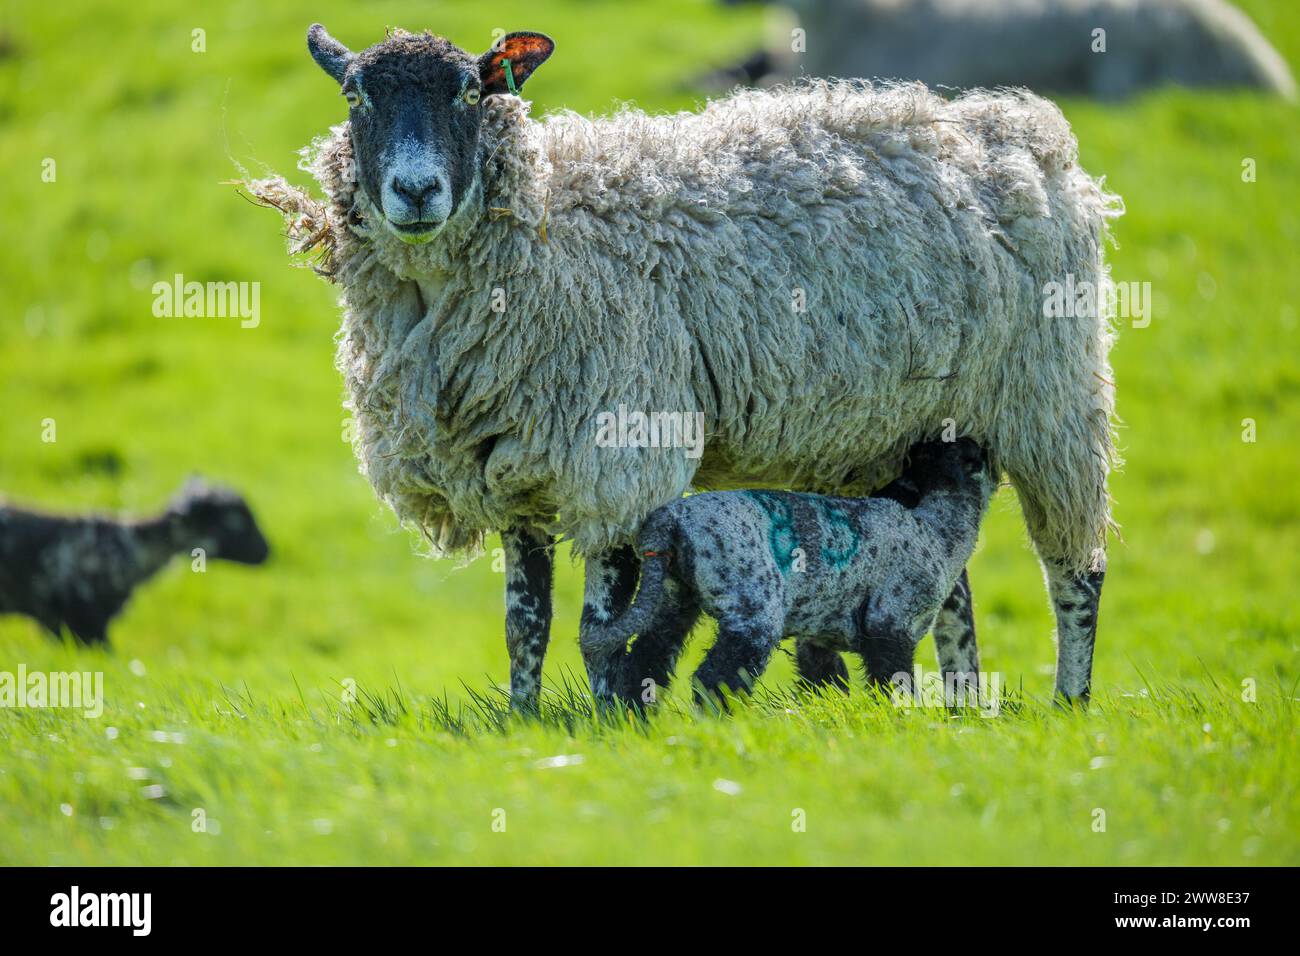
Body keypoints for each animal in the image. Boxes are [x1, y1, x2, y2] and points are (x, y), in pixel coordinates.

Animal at [250, 24, 1118, 712]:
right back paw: (961, 706)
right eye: (356, 95)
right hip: (901, 434)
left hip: (1052, 400)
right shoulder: (515, 465)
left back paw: (1070, 702)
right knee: (948, 581)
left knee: (1075, 571)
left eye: (470, 91)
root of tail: (1018, 127)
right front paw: (523, 719)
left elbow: (600, 619)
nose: (417, 191)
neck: (542, 228)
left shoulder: (613, 453)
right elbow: (524, 622)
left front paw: (606, 717)